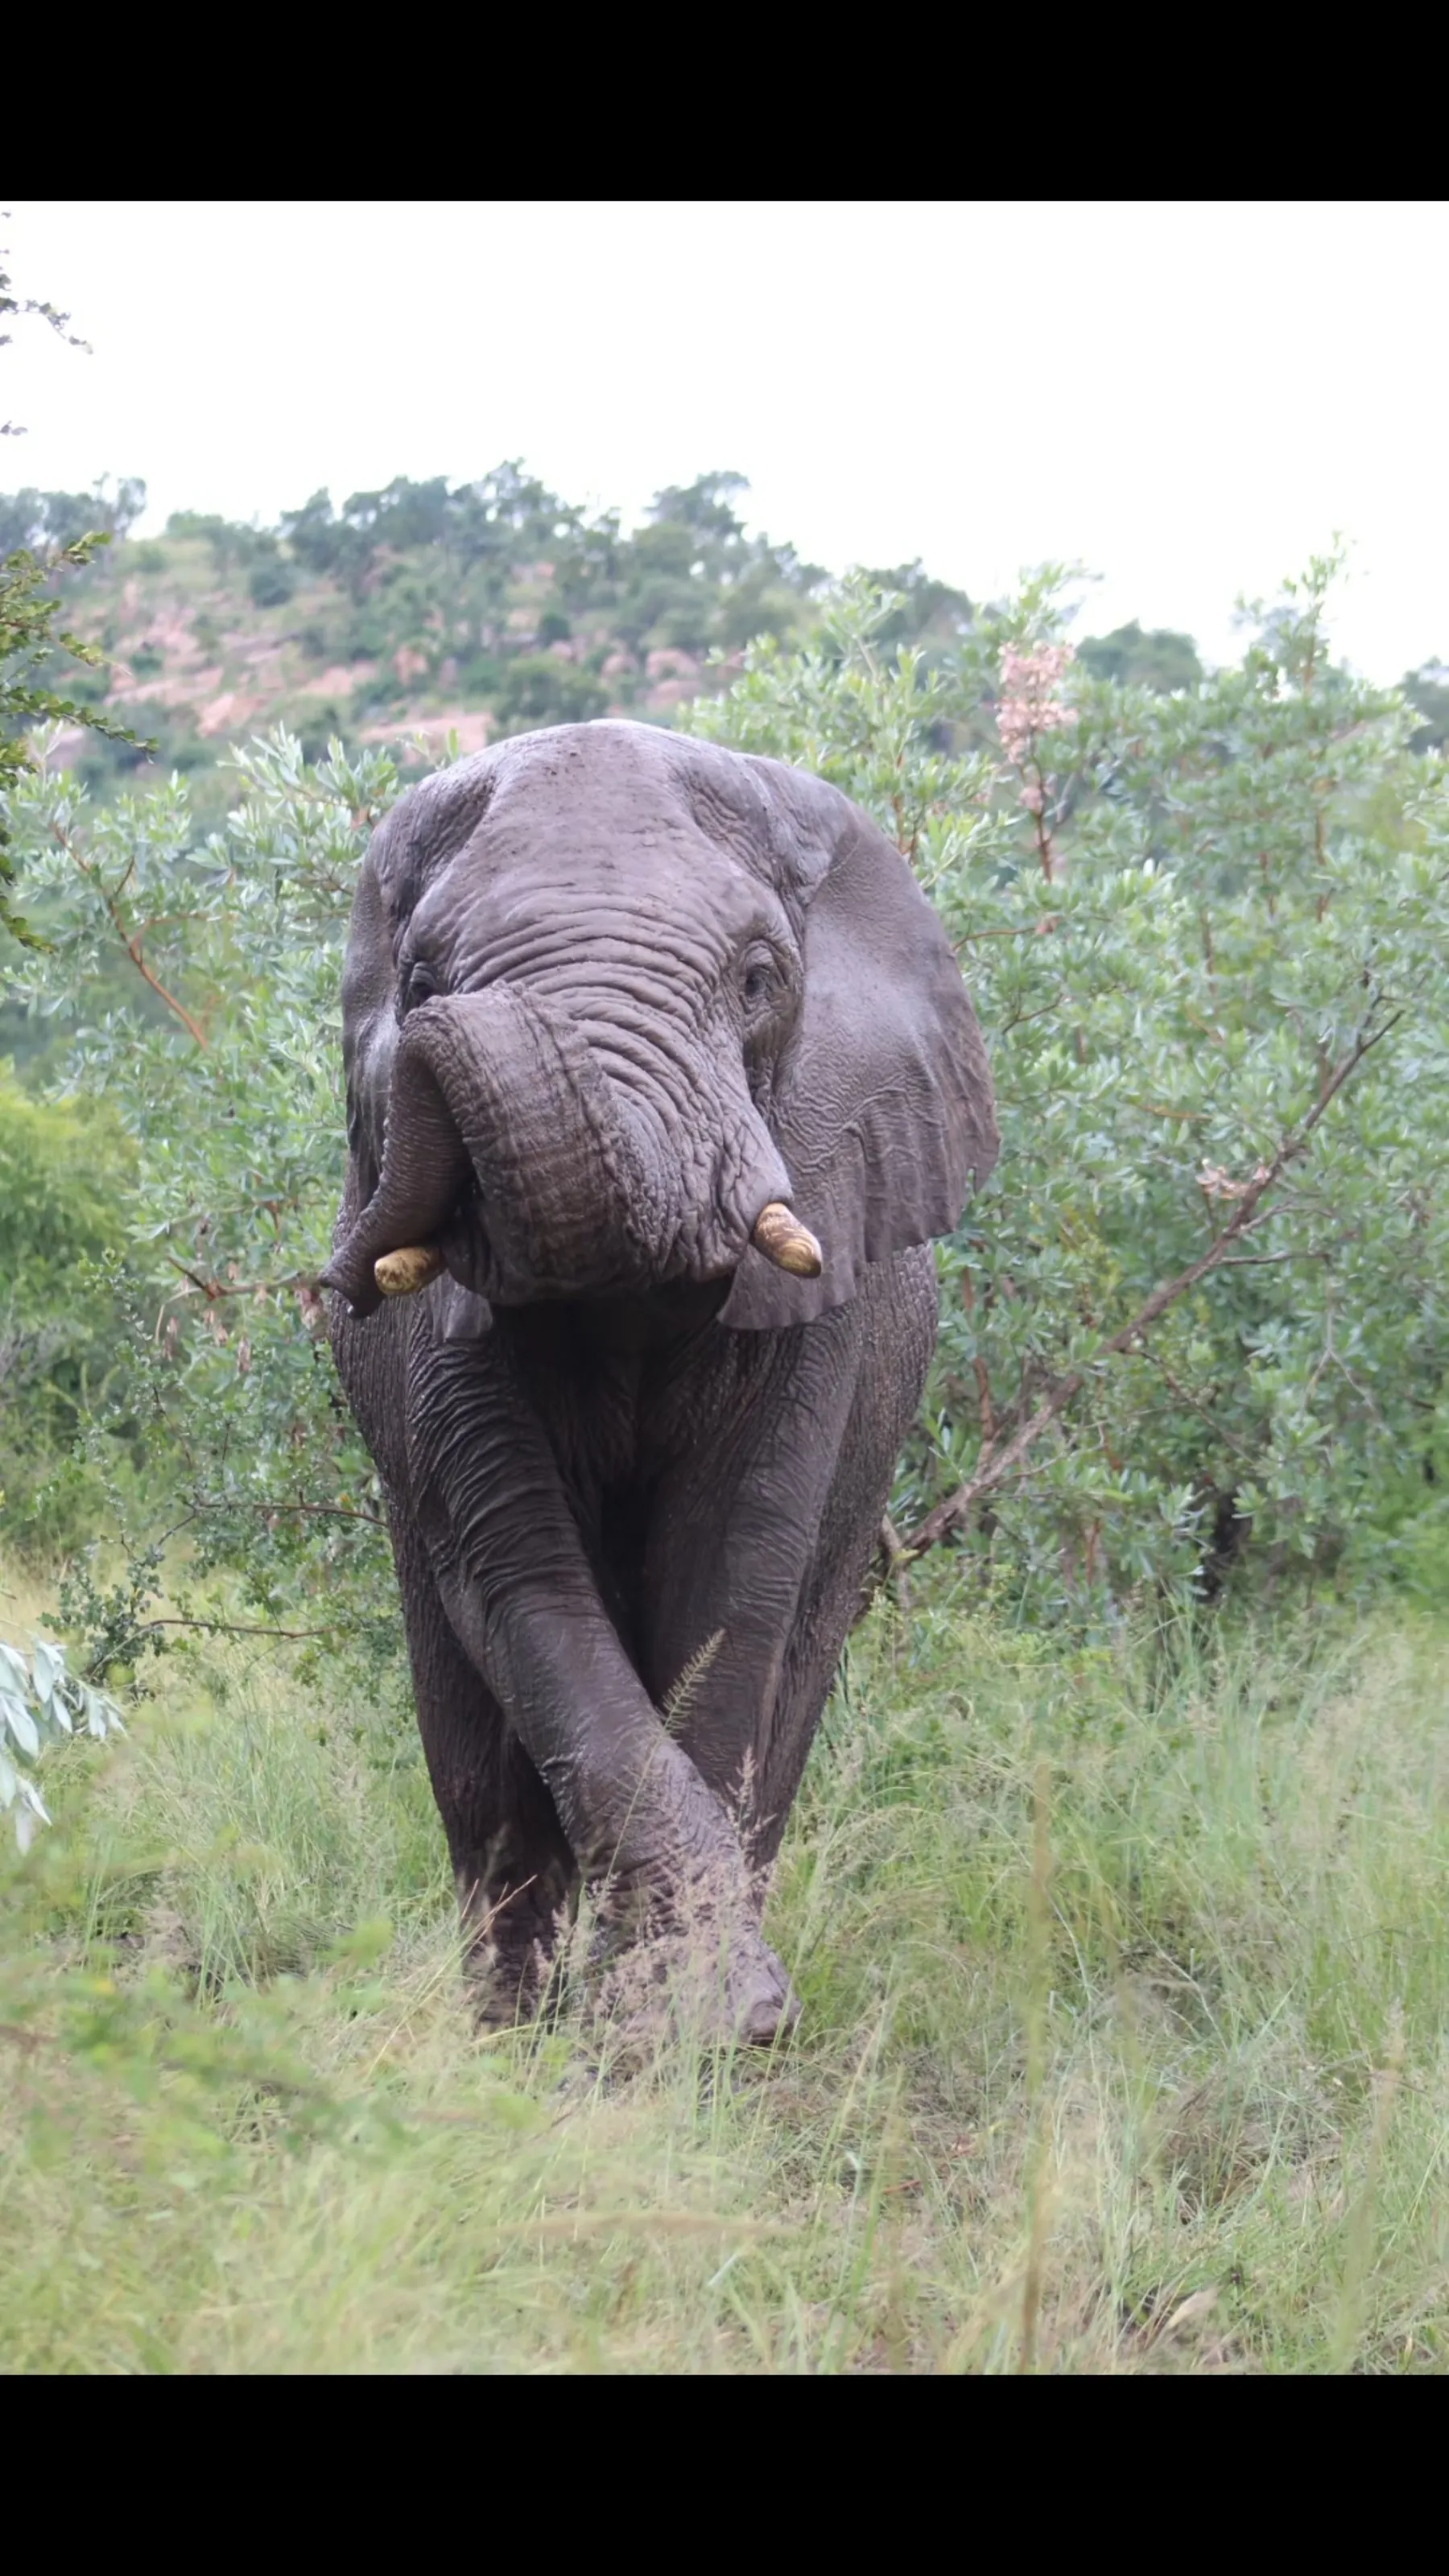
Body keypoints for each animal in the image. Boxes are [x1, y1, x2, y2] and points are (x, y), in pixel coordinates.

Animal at [323, 719, 998, 2044]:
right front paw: (673, 2023)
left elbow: (732, 1569)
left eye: (758, 979)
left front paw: (707, 2032)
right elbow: (520, 1574)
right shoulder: (441, 1337)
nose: (441, 1020)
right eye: (421, 979)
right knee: (478, 1782)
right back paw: (508, 2036)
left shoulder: (820, 1276)